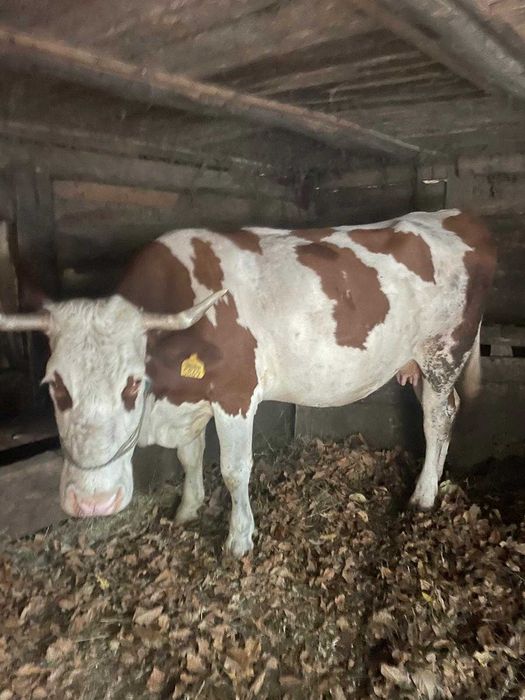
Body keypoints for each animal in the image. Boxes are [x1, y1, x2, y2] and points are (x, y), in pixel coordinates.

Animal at [0, 210, 496, 557]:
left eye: (133, 384)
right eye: (54, 386)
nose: (93, 504)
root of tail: (451, 215)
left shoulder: (235, 394)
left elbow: (235, 470)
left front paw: (239, 539)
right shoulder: (193, 400)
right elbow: (189, 456)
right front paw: (187, 508)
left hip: (444, 353)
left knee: (439, 418)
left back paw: (424, 495)